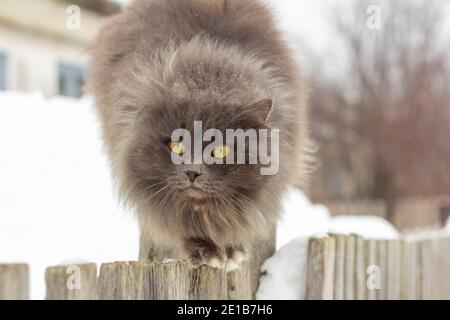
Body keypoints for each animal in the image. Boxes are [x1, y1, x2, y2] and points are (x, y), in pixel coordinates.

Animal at [89, 0, 312, 272]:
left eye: (220, 150)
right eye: (176, 145)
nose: (192, 172)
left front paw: (232, 251)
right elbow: (182, 224)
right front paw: (207, 252)